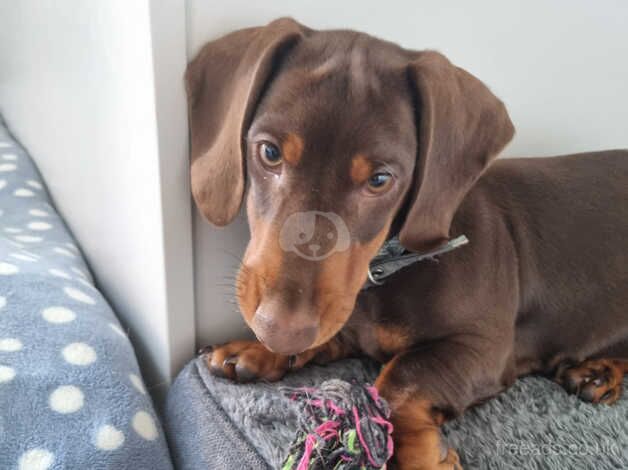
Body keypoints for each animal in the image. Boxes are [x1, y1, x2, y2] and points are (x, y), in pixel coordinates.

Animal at [189, 17, 628, 470]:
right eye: (270, 152)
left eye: (380, 179)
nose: (278, 331)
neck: (388, 263)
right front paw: (254, 351)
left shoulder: (485, 349)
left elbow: (401, 377)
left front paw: (421, 455)